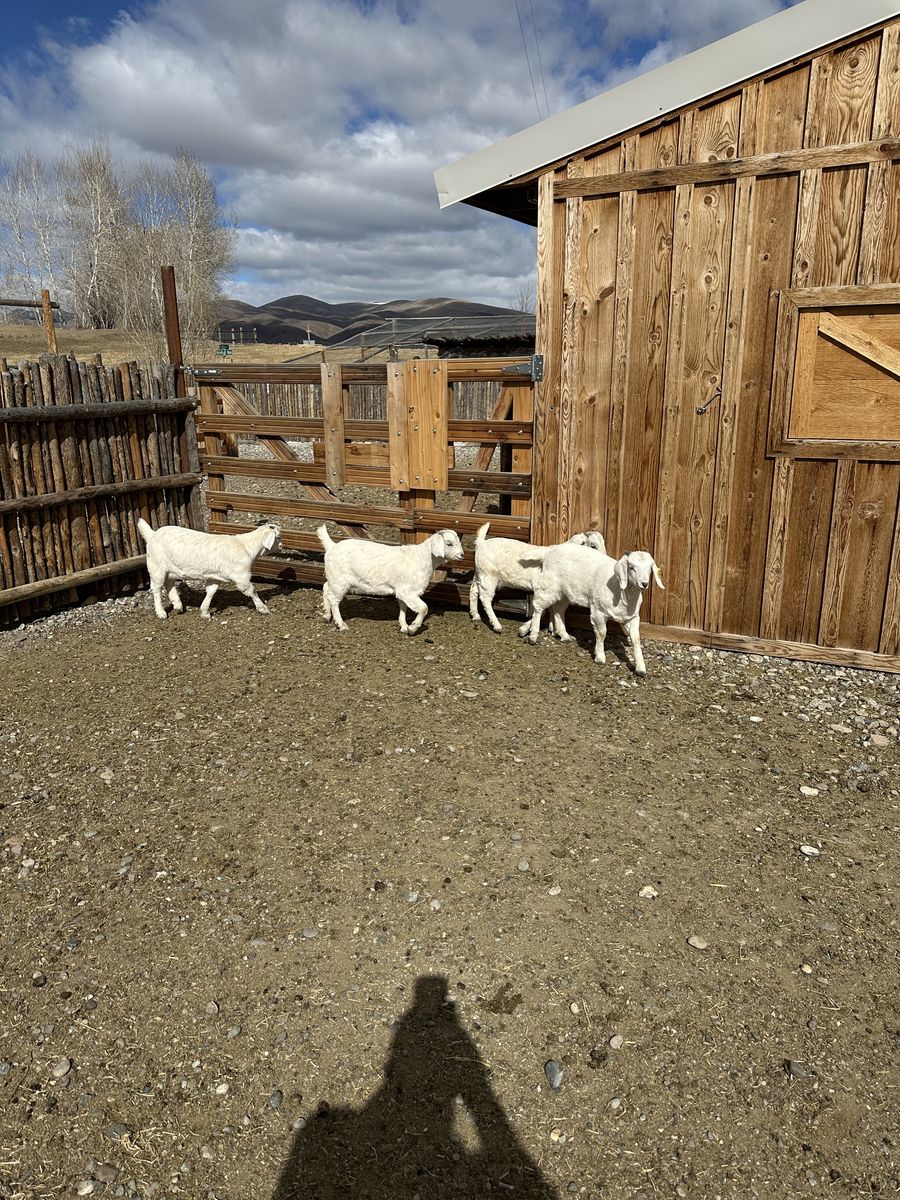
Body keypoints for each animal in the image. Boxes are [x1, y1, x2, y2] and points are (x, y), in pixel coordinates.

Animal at [137, 518, 281, 620]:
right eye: (278, 537)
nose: (281, 547)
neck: (246, 547)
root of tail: (153, 534)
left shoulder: (215, 576)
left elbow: (211, 592)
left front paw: (205, 611)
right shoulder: (241, 576)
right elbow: (252, 591)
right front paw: (263, 608)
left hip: (170, 569)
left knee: (169, 584)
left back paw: (177, 605)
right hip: (156, 567)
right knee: (156, 588)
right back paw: (161, 612)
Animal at [317, 525, 464, 634]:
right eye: (449, 543)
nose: (462, 555)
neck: (423, 558)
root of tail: (332, 546)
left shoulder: (401, 591)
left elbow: (403, 607)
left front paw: (403, 627)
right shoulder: (407, 591)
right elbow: (423, 608)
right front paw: (413, 628)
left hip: (334, 578)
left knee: (326, 587)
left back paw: (326, 615)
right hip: (340, 580)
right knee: (334, 599)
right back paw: (341, 624)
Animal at [469, 524, 606, 634]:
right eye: (593, 546)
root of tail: (482, 543)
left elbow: (551, 608)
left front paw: (551, 628)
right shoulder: (544, 588)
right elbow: (544, 608)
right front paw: (525, 629)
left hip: (480, 573)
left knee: (474, 590)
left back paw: (475, 615)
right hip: (488, 575)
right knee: (485, 598)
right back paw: (496, 625)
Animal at [519, 546, 664, 675]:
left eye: (649, 569)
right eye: (631, 568)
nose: (644, 584)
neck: (620, 591)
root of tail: (550, 550)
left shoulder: (632, 617)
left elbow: (636, 639)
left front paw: (641, 669)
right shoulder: (598, 611)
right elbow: (602, 633)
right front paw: (600, 657)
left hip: (565, 592)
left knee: (558, 609)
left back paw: (564, 635)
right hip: (549, 585)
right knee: (538, 606)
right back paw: (533, 635)